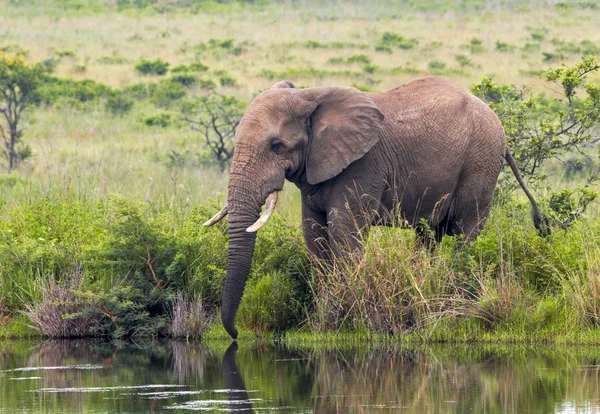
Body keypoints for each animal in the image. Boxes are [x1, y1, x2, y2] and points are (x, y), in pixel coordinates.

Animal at [206, 76, 548, 338]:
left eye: (277, 146)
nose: (235, 334)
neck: (310, 94)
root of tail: (498, 125)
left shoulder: (363, 166)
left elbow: (345, 231)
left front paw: (341, 322)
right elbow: (314, 235)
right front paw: (323, 323)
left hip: (481, 161)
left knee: (466, 232)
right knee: (429, 236)